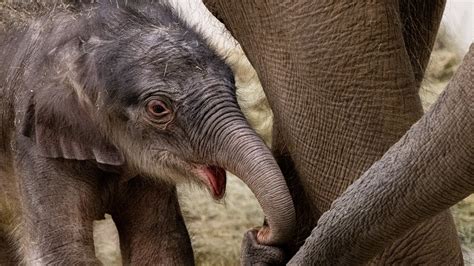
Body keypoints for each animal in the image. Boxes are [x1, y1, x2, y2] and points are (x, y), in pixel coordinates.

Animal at [0, 1, 294, 264]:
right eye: (158, 108)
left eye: (233, 83)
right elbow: (63, 253)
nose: (260, 232)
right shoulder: (33, 142)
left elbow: (161, 245)